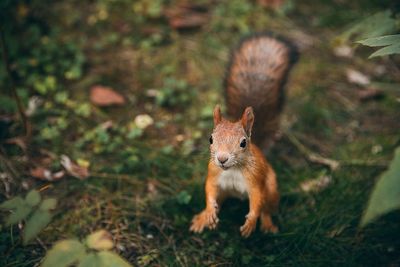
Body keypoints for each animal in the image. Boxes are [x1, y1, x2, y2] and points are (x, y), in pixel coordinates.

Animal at [188, 32, 296, 238]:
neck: (232, 170)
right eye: (211, 139)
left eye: (243, 143)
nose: (222, 159)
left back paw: (267, 225)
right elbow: (209, 191)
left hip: (272, 188)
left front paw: (250, 223)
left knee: (267, 208)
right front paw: (209, 212)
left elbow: (257, 200)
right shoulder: (214, 176)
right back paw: (202, 218)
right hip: (224, 192)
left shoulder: (255, 180)